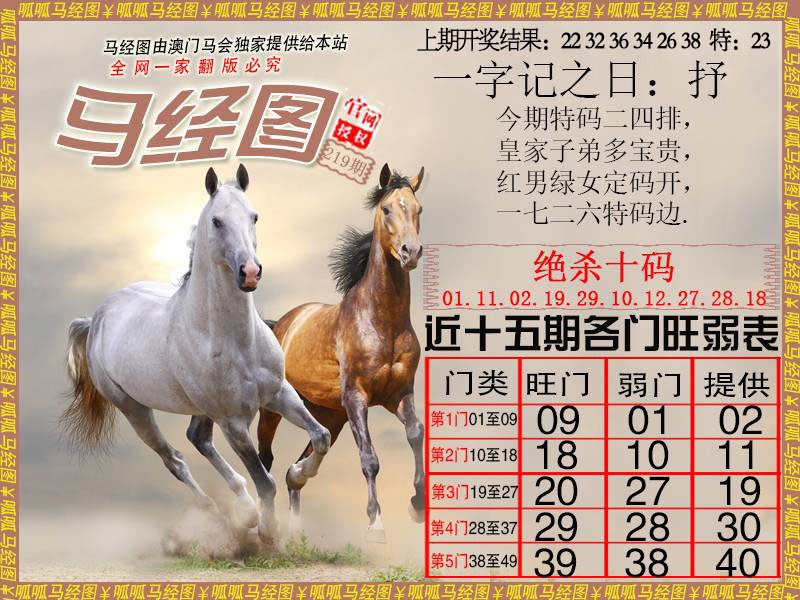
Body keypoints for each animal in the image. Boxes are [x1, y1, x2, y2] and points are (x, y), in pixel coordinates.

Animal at [63, 165, 331, 543]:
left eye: (254, 216)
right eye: (217, 221)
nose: (250, 272)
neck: (235, 341)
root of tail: (96, 317)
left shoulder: (278, 393)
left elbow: (320, 437)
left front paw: (298, 474)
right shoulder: (233, 422)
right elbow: (265, 480)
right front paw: (268, 531)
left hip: (200, 409)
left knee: (197, 438)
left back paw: (243, 509)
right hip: (134, 409)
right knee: (174, 459)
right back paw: (225, 515)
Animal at [256, 163, 425, 543]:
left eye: (418, 209)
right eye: (386, 209)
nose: (410, 252)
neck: (382, 321)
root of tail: (280, 324)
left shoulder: (399, 395)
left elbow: (415, 434)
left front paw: (417, 505)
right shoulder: (357, 397)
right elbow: (370, 458)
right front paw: (376, 524)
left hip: (329, 414)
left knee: (298, 465)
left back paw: (297, 509)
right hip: (275, 409)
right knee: (265, 458)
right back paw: (264, 524)